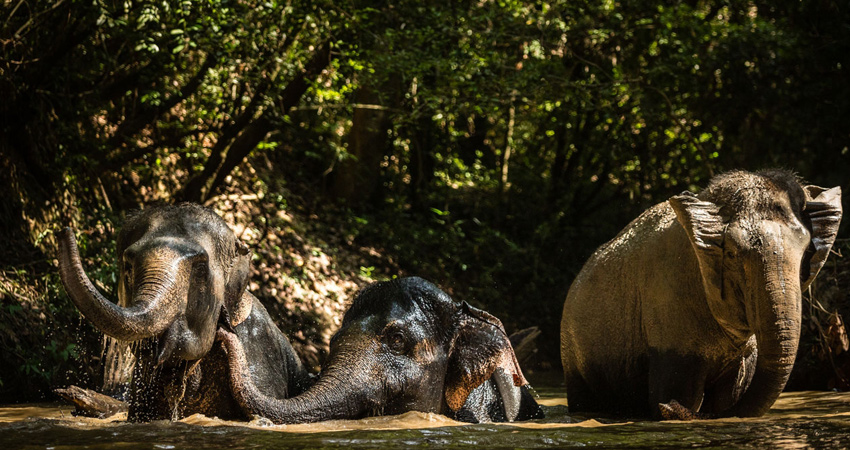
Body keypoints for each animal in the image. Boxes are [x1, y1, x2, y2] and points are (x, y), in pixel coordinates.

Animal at [556, 169, 840, 418]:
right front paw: (671, 405)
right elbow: (682, 393)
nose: (668, 407)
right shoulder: (667, 303)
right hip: (573, 352)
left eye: (806, 251)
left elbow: (730, 396)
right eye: (732, 253)